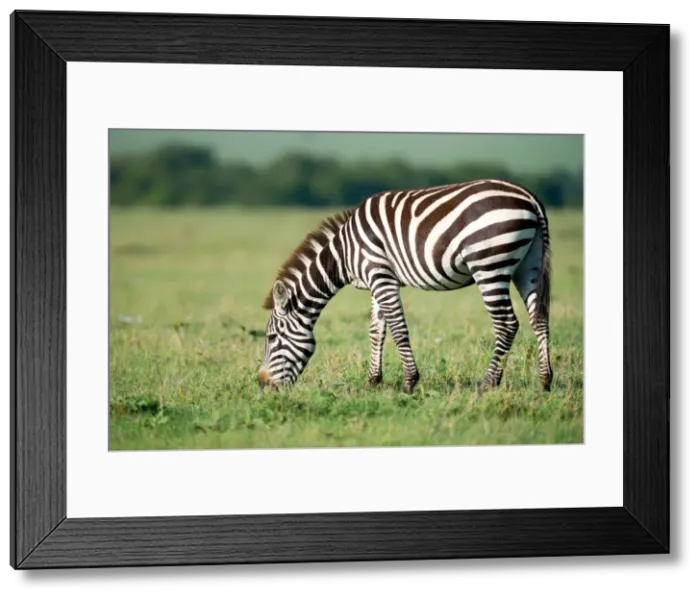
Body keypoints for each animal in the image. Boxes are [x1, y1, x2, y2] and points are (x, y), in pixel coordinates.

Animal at [257, 178, 553, 395]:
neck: (344, 252)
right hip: (528, 266)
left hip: (490, 265)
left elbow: (398, 330)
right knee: (539, 319)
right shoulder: (376, 280)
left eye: (271, 338)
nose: (262, 384)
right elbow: (376, 331)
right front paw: (373, 381)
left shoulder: (381, 275)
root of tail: (529, 197)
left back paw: (488, 384)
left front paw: (409, 383)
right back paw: (545, 381)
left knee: (507, 324)